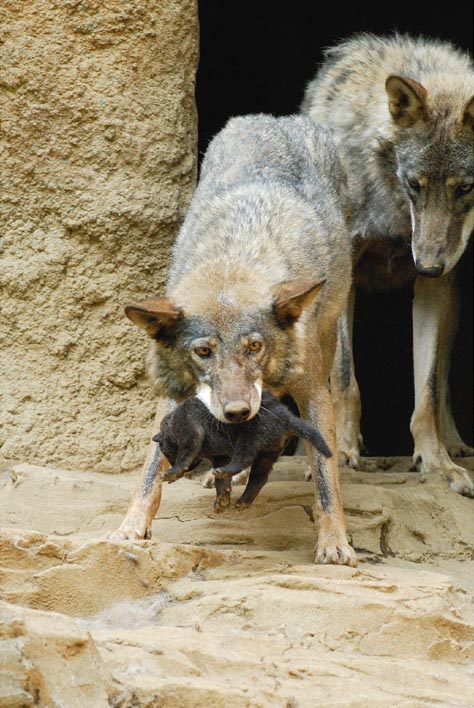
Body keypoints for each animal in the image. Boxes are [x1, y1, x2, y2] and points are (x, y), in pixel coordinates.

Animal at [111, 113, 356, 564]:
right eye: (203, 352)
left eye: (254, 347)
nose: (237, 411)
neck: (235, 257)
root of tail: (278, 119)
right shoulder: (176, 395)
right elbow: (150, 471)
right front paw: (131, 528)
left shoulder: (312, 389)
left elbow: (326, 481)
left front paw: (335, 542)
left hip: (330, 341)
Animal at [304, 33, 474, 496]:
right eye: (414, 184)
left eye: (465, 188)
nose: (429, 265)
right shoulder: (342, 280)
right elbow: (346, 383)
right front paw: (343, 453)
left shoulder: (437, 286)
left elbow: (428, 393)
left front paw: (437, 462)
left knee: (444, 381)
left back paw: (456, 443)